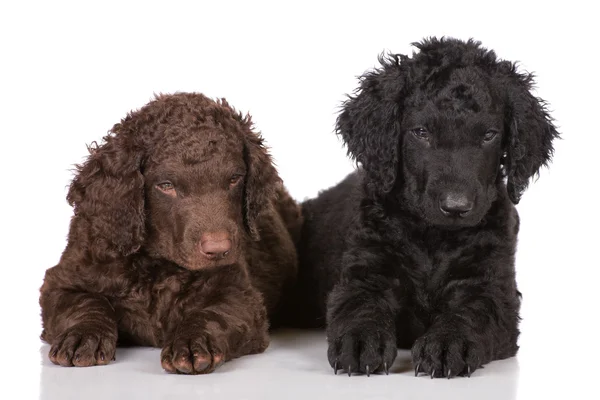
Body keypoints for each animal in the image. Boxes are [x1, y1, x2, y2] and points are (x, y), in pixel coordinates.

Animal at [38, 92, 300, 374]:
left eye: (234, 179)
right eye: (166, 185)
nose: (219, 249)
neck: (158, 267)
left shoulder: (242, 296)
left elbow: (214, 313)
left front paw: (193, 341)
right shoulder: (60, 282)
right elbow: (85, 303)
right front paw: (83, 336)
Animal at [290, 37, 556, 378]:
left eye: (488, 135)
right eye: (421, 132)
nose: (456, 206)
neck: (433, 237)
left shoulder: (492, 291)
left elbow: (470, 313)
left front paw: (449, 343)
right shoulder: (365, 271)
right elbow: (359, 304)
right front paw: (359, 341)